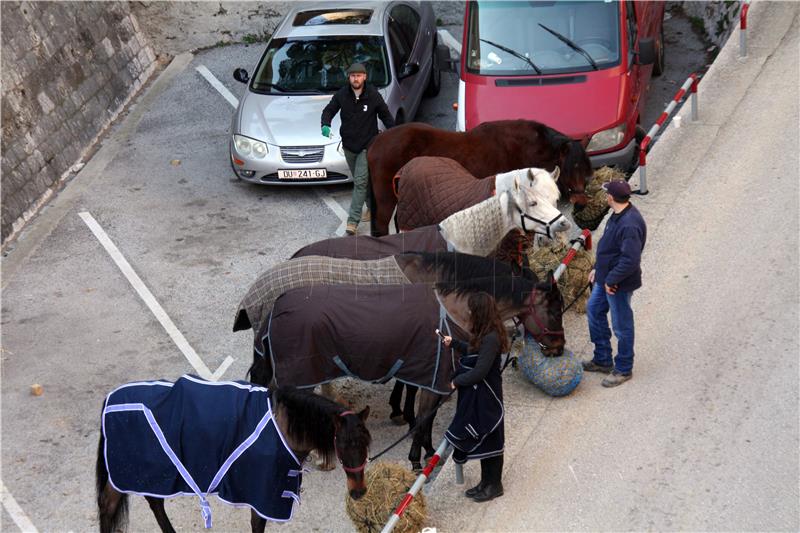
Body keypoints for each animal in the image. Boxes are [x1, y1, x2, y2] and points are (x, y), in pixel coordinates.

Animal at [95, 374, 370, 532]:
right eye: (343, 444)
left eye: (366, 444)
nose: (358, 492)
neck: (283, 425)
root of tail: (109, 400)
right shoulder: (262, 492)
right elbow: (257, 524)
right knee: (109, 504)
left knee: (153, 502)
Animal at [244, 252, 564, 470]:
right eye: (554, 310)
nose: (558, 348)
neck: (450, 311)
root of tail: (276, 307)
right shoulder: (432, 377)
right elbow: (422, 418)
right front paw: (417, 458)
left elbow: (423, 414)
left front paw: (425, 447)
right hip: (302, 377)